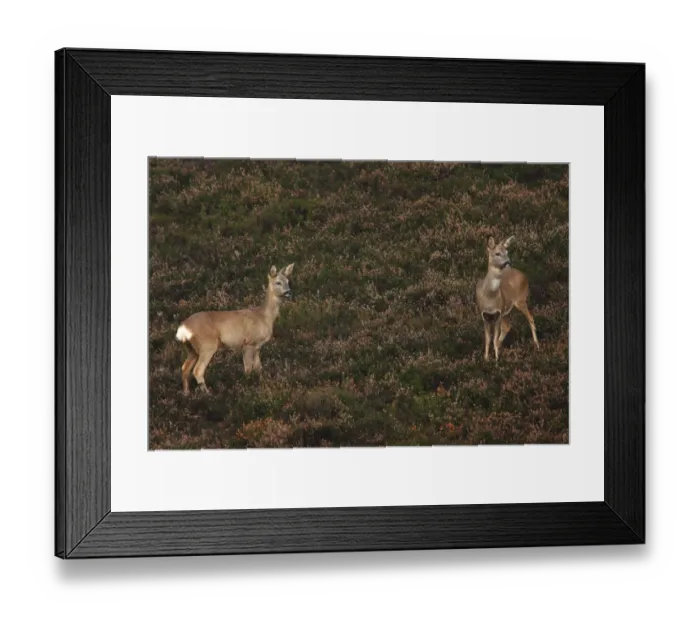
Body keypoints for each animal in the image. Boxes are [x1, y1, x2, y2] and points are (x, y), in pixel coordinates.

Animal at [175, 263, 294, 394]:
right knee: (197, 371)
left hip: (191, 348)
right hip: (207, 345)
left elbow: (259, 368)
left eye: (288, 281)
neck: (263, 316)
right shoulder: (248, 343)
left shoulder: (258, 346)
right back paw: (208, 393)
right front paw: (248, 387)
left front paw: (262, 383)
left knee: (184, 368)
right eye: (278, 282)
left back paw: (186, 393)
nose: (288, 292)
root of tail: (183, 328)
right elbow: (248, 369)